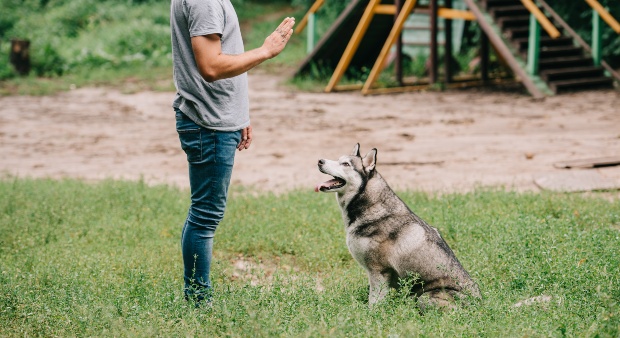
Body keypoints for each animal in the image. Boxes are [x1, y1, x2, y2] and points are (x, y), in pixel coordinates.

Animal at [314, 144, 480, 310]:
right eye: (339, 159)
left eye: (346, 164)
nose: (320, 161)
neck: (372, 206)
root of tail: (479, 304)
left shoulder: (379, 271)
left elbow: (374, 302)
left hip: (425, 298)